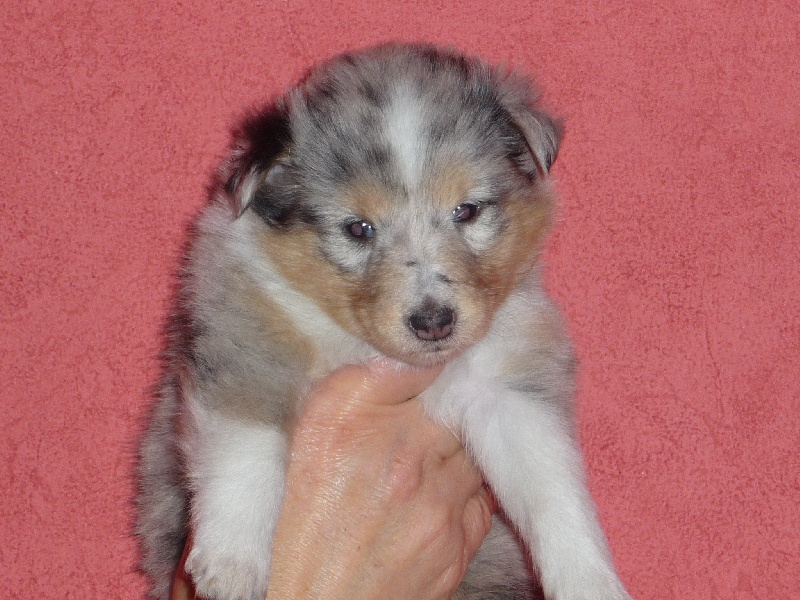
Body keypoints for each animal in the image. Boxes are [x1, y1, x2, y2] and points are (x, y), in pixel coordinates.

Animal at [137, 43, 632, 600]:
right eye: (357, 228)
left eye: (467, 211)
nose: (434, 322)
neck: (361, 343)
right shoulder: (249, 339)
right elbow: (248, 449)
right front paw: (232, 562)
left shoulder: (506, 385)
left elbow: (552, 490)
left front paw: (591, 584)